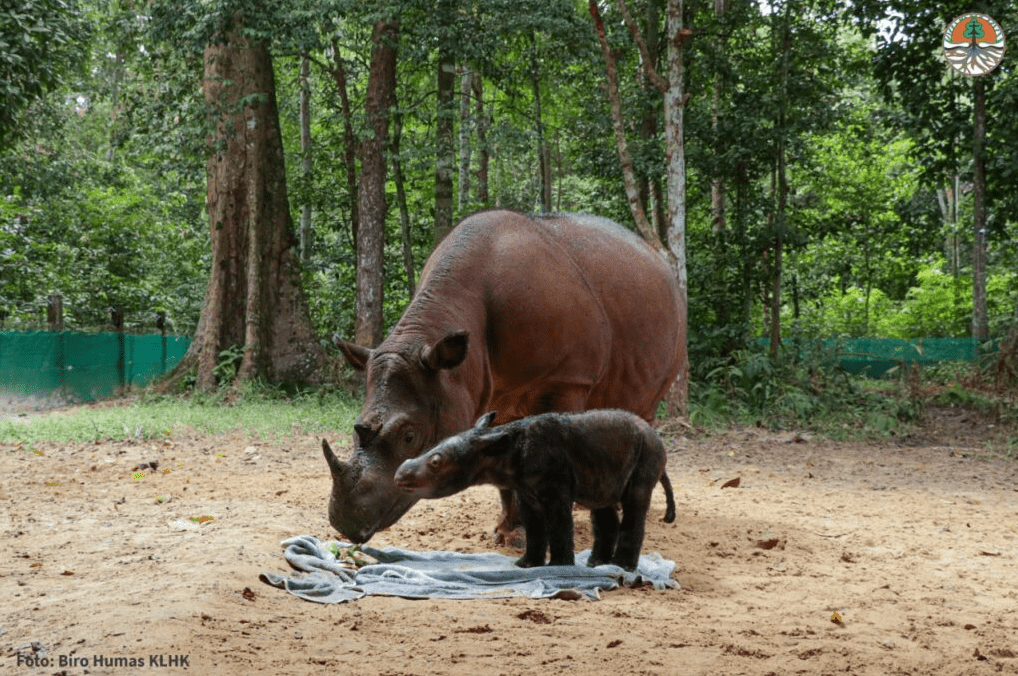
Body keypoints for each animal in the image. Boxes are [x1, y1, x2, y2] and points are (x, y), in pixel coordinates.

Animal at [324, 209, 682, 545]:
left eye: (410, 436)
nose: (346, 525)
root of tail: (655, 257)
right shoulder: (485, 388)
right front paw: (510, 533)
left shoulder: (568, 377)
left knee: (642, 413)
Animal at [394, 410, 677, 571]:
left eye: (436, 462)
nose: (399, 474)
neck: (499, 450)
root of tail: (655, 434)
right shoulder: (525, 490)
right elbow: (534, 527)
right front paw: (526, 565)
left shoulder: (555, 489)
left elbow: (558, 524)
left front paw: (560, 569)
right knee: (601, 502)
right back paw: (597, 565)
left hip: (649, 451)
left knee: (635, 502)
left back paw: (622, 568)